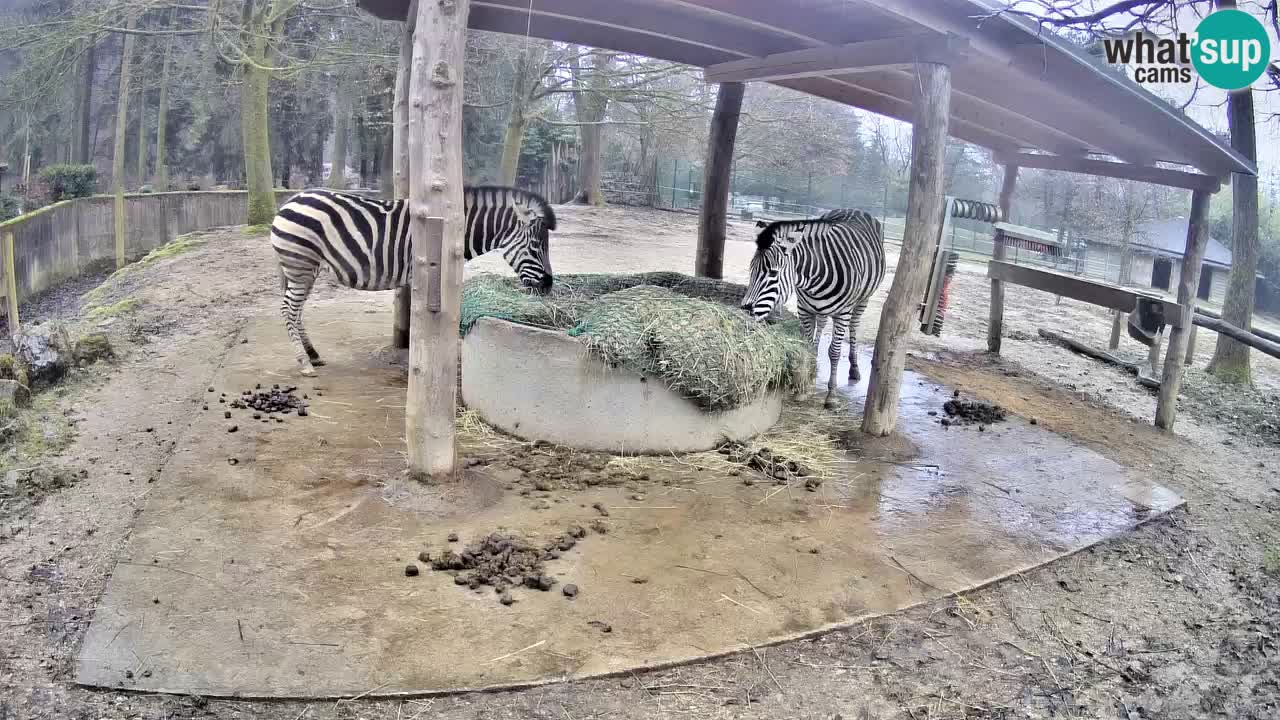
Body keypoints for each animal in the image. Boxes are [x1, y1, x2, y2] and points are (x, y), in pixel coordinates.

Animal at [269, 185, 556, 376]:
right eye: (536, 246)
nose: (548, 286)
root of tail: (290, 201)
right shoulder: (423, 274)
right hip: (301, 265)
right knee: (288, 309)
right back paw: (305, 363)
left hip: (305, 269)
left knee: (296, 311)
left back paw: (313, 354)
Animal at [739, 208, 886, 409]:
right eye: (751, 270)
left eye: (773, 273)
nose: (745, 311)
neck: (814, 278)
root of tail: (854, 210)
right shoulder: (804, 309)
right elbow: (807, 346)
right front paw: (804, 387)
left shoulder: (842, 314)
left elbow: (834, 352)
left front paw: (831, 396)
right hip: (819, 307)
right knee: (822, 323)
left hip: (863, 300)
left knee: (854, 326)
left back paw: (854, 369)